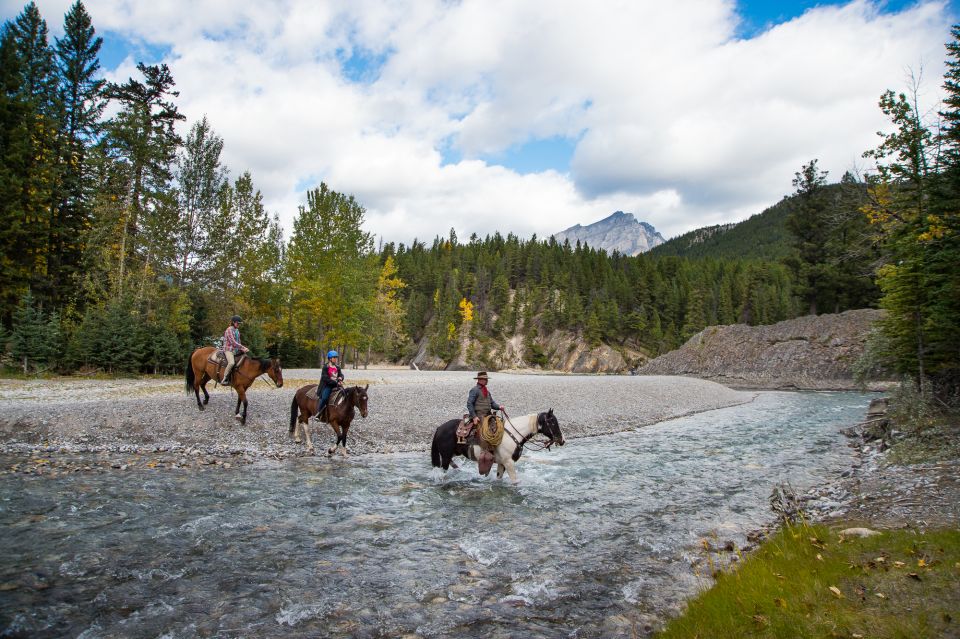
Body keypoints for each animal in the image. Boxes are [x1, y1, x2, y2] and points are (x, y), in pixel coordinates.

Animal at [434, 410, 568, 484]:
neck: (513, 434)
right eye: (552, 422)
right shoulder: (509, 462)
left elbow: (499, 478)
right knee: (443, 471)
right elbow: (515, 481)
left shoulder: (502, 463)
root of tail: (439, 428)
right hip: (445, 456)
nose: (562, 440)